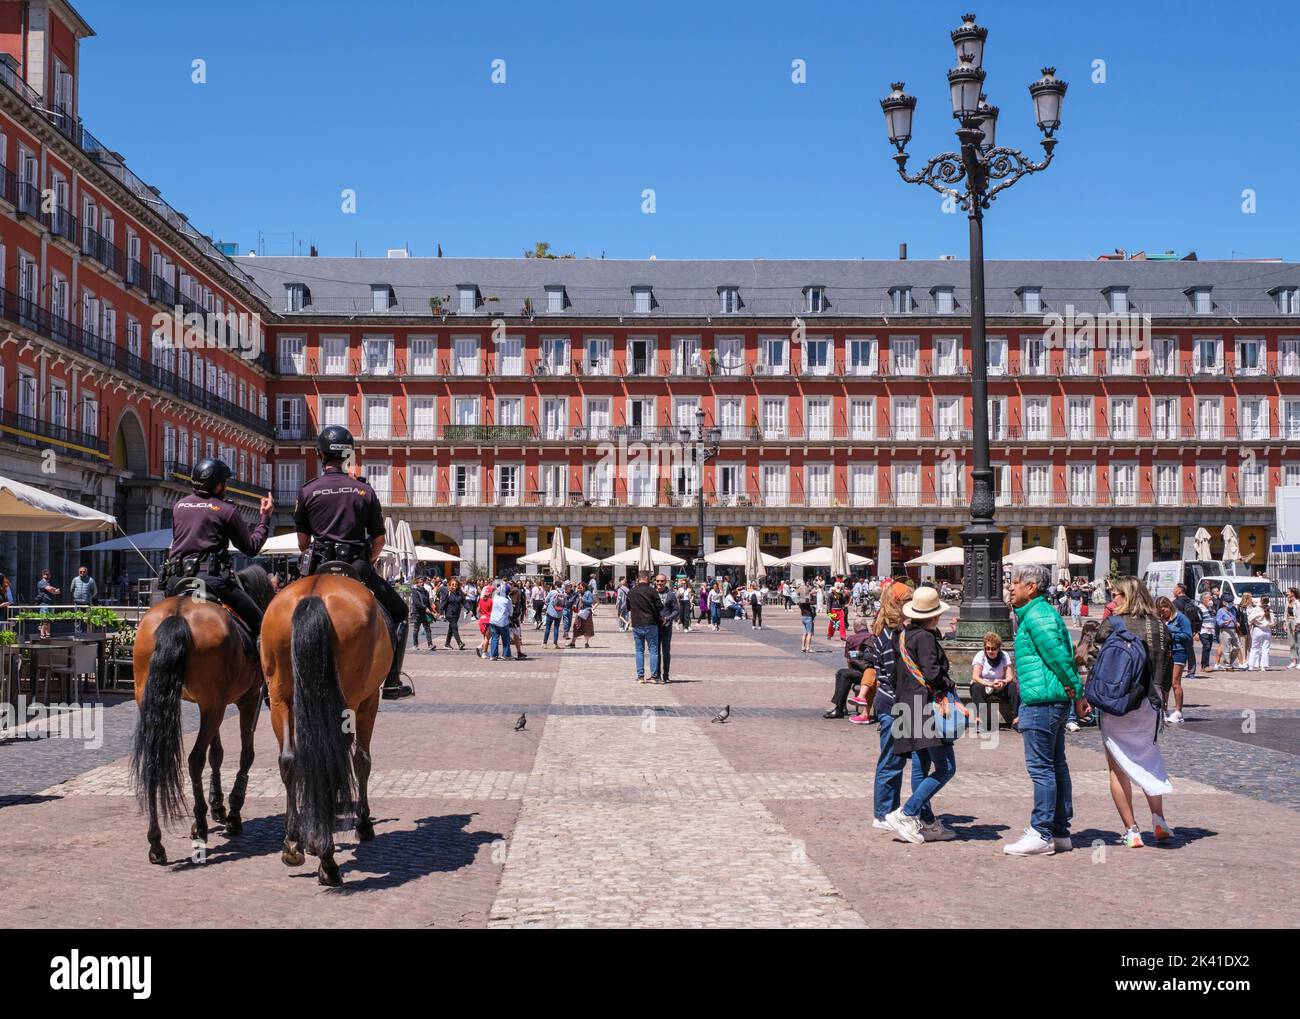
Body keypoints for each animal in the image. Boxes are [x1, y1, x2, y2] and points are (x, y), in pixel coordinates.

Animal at [130, 565, 275, 864]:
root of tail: (177, 615)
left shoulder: (209, 704)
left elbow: (216, 753)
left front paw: (218, 805)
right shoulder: (246, 701)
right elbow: (245, 755)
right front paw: (232, 812)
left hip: (161, 702)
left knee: (154, 760)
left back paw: (156, 843)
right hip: (216, 706)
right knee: (194, 759)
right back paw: (199, 825)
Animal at [259, 572, 392, 886]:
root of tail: (313, 594)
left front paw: (307, 839)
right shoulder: (370, 700)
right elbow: (361, 760)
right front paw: (363, 824)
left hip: (280, 697)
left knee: (290, 760)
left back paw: (293, 843)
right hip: (350, 698)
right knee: (334, 757)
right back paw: (328, 861)